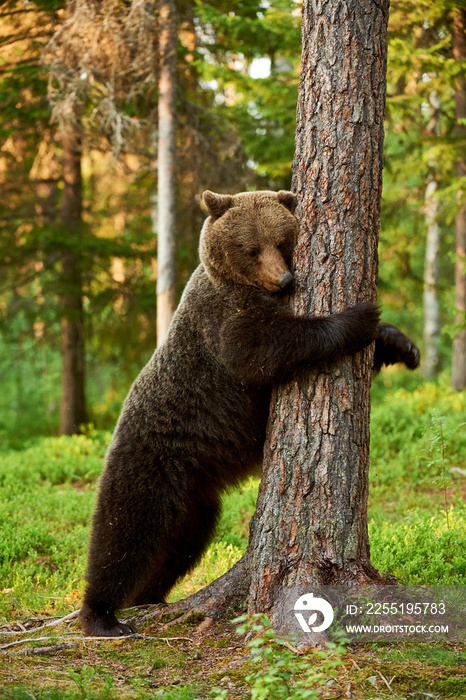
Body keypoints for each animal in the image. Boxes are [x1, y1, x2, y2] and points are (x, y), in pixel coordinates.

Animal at [78, 190, 420, 636]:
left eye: (282, 241)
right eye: (251, 248)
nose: (286, 281)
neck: (246, 286)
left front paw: (402, 345)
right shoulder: (222, 320)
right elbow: (261, 351)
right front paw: (359, 318)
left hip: (195, 493)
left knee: (180, 542)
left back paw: (149, 597)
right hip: (150, 458)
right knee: (124, 530)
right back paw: (102, 616)